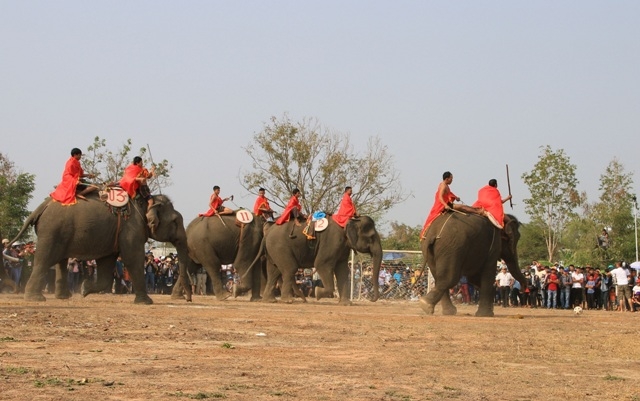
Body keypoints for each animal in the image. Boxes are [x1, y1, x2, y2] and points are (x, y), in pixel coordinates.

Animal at [11, 193, 188, 304]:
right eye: (175, 221)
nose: (187, 299)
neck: (144, 201)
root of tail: (42, 206)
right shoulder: (131, 228)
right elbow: (133, 258)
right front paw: (146, 302)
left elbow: (106, 263)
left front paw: (84, 289)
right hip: (51, 231)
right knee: (44, 260)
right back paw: (35, 298)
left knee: (60, 261)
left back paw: (63, 296)